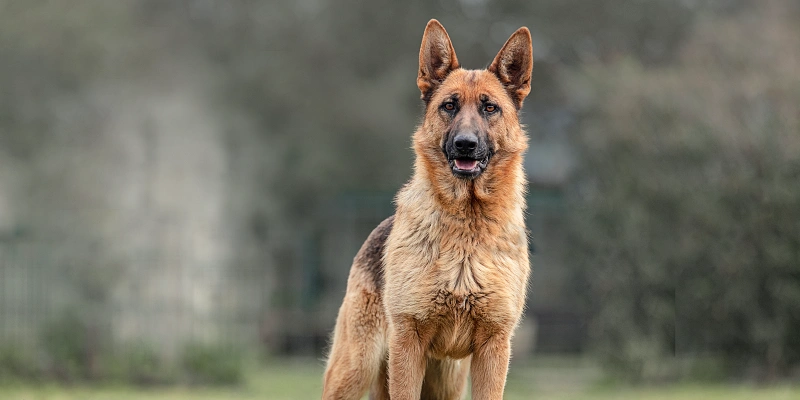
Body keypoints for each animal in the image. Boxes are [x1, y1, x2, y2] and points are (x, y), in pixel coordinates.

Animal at [322, 20, 536, 400]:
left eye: (490, 108)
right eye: (449, 106)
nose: (465, 144)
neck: (466, 226)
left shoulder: (493, 348)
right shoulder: (409, 344)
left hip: (445, 382)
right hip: (355, 370)